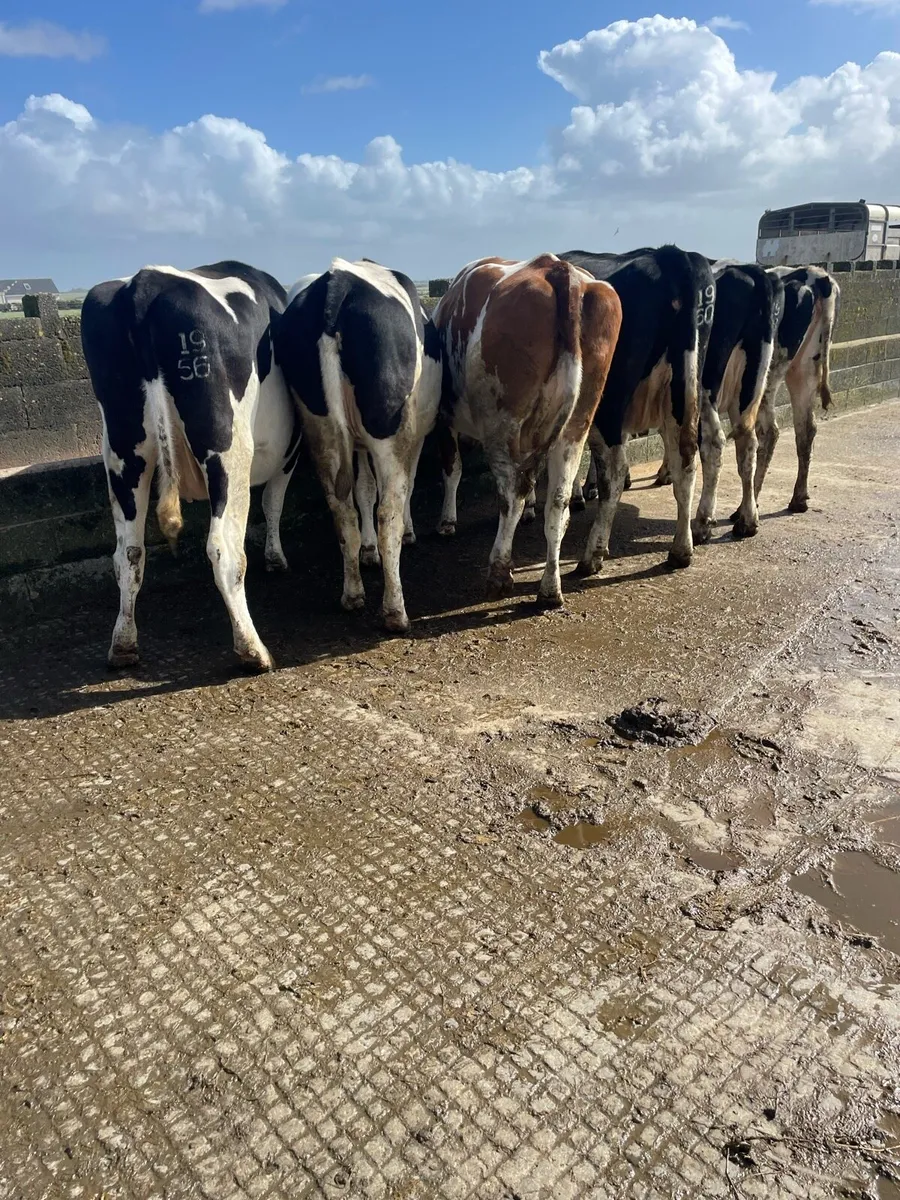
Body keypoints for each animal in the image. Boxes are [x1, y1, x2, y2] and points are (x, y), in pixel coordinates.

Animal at [81, 261, 298, 673]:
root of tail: (146, 281)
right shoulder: (289, 452)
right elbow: (273, 503)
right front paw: (276, 558)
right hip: (228, 449)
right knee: (223, 549)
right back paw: (253, 651)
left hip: (123, 452)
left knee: (128, 553)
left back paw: (123, 646)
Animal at [273, 258, 441, 633]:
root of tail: (338, 285)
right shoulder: (414, 437)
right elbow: (404, 488)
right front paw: (407, 533)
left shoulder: (359, 447)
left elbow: (363, 490)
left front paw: (367, 551)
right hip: (389, 431)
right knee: (387, 513)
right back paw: (395, 611)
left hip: (320, 430)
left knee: (342, 511)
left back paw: (352, 594)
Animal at [432, 253, 622, 606]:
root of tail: (560, 270)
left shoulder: (442, 417)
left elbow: (452, 468)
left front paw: (447, 522)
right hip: (578, 421)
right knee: (562, 499)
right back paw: (552, 586)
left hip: (503, 421)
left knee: (511, 494)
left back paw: (499, 573)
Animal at [558, 247, 715, 574]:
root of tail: (671, 254)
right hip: (684, 388)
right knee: (688, 461)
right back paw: (682, 549)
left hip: (610, 400)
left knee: (615, 472)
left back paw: (592, 556)